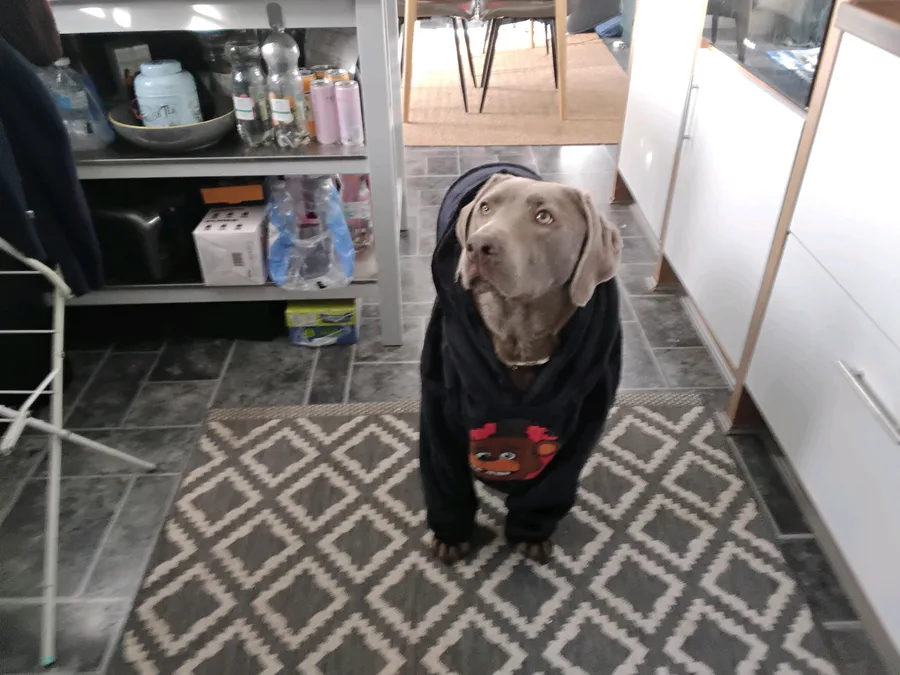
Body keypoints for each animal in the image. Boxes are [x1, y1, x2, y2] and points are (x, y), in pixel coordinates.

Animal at [419, 164, 623, 564]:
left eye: (544, 217)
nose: (478, 246)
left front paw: (531, 534)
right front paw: (450, 536)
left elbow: (550, 486)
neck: (518, 339)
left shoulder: (585, 422)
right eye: (486, 208)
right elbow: (444, 476)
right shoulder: (438, 409)